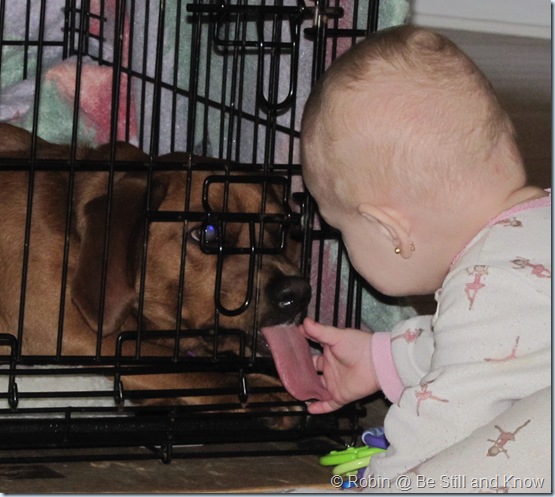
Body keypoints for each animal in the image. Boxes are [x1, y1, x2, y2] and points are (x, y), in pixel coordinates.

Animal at [0, 123, 311, 428]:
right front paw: (261, 391)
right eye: (208, 232)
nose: (297, 293)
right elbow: (172, 364)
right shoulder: (66, 331)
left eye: (279, 229)